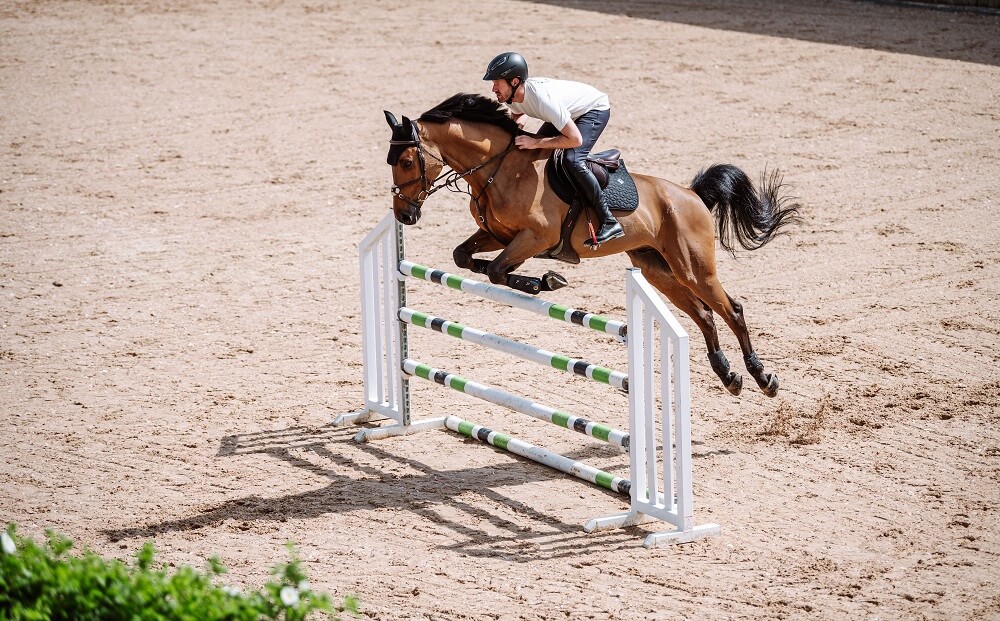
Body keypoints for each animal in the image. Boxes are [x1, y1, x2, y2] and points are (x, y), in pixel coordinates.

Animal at [378, 92, 800, 398]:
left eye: (405, 161)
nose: (403, 215)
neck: (500, 168)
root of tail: (692, 194)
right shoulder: (498, 235)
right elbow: (465, 257)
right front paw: (538, 280)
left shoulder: (535, 237)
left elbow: (498, 269)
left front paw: (543, 281)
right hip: (657, 269)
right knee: (704, 315)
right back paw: (728, 376)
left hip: (694, 267)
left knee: (731, 309)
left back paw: (762, 377)